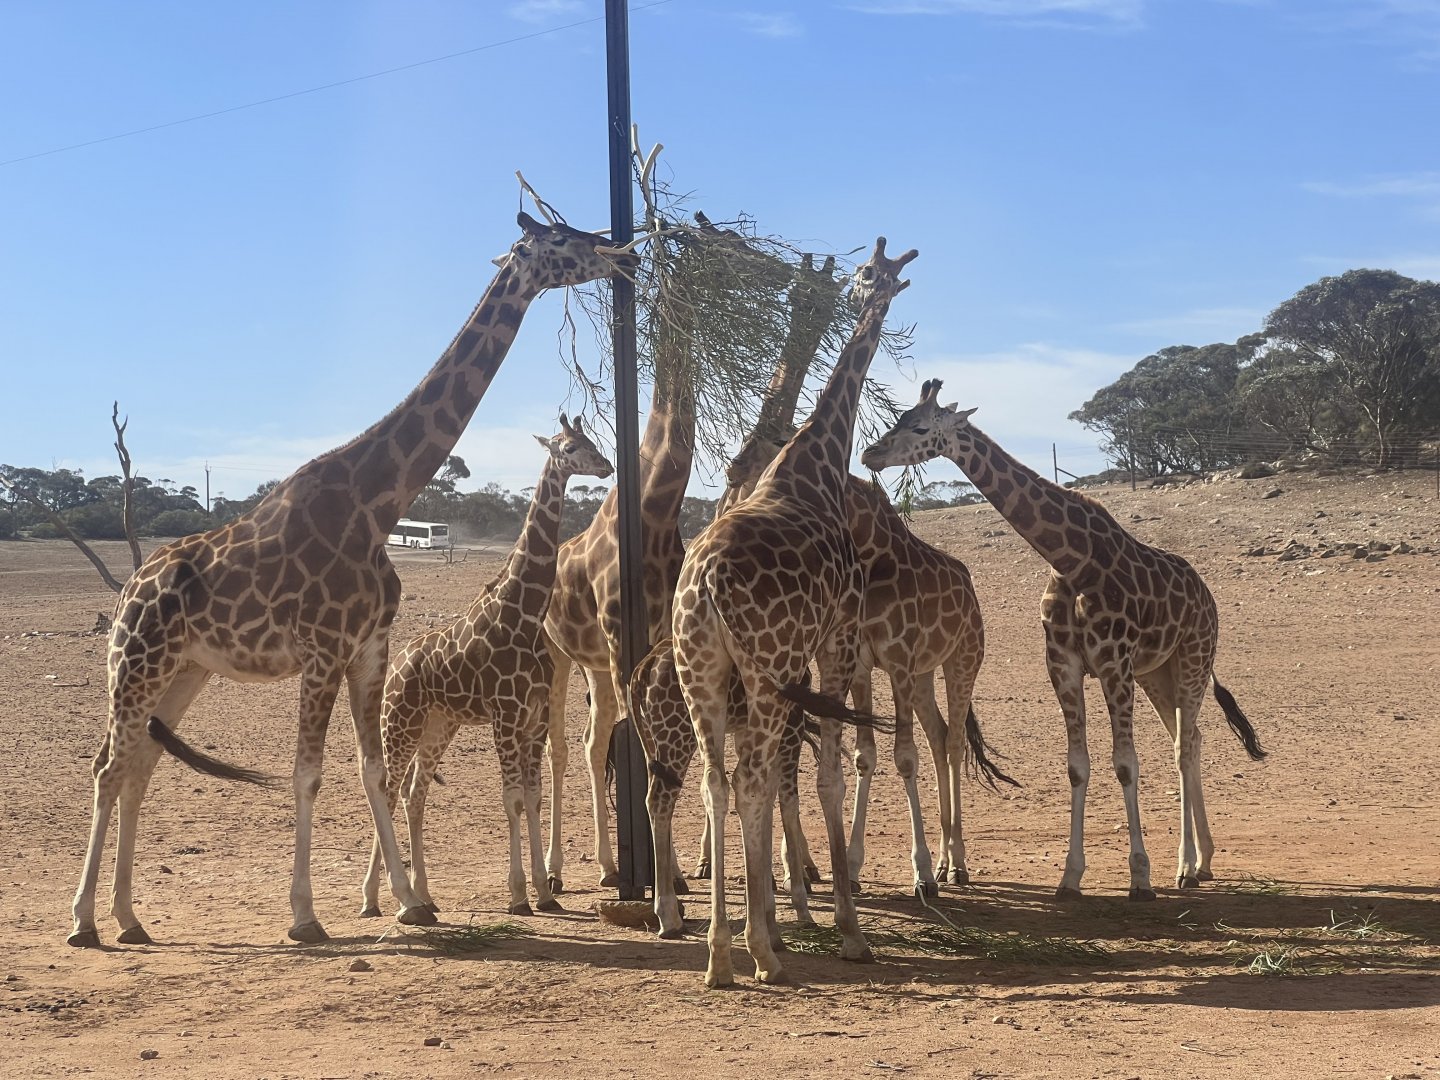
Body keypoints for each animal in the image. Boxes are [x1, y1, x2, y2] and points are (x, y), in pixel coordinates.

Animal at [360, 415, 612, 918]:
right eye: (570, 447)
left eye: (591, 441)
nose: (607, 466)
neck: (524, 611)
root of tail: (396, 666)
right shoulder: (506, 715)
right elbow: (511, 799)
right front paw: (518, 894)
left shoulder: (533, 717)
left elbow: (532, 797)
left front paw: (544, 890)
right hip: (400, 722)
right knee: (389, 790)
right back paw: (379, 899)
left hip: (439, 725)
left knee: (415, 794)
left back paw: (423, 894)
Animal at [672, 236, 917, 988]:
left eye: (869, 272)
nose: (871, 288)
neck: (817, 458)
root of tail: (705, 582)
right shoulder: (838, 637)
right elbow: (832, 773)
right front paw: (847, 929)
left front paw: (790, 917)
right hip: (765, 667)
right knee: (750, 778)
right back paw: (756, 951)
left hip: (703, 672)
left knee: (716, 783)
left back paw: (722, 955)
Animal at [860, 379, 1266, 899]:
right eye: (898, 419)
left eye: (918, 427)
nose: (870, 453)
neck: (1072, 559)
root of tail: (1207, 595)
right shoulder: (1065, 666)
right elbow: (1078, 766)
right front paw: (1070, 877)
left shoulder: (1114, 664)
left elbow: (1125, 764)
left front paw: (1140, 876)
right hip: (1158, 672)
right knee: (1189, 737)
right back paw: (1203, 860)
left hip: (1194, 657)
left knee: (1183, 747)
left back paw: (1185, 866)